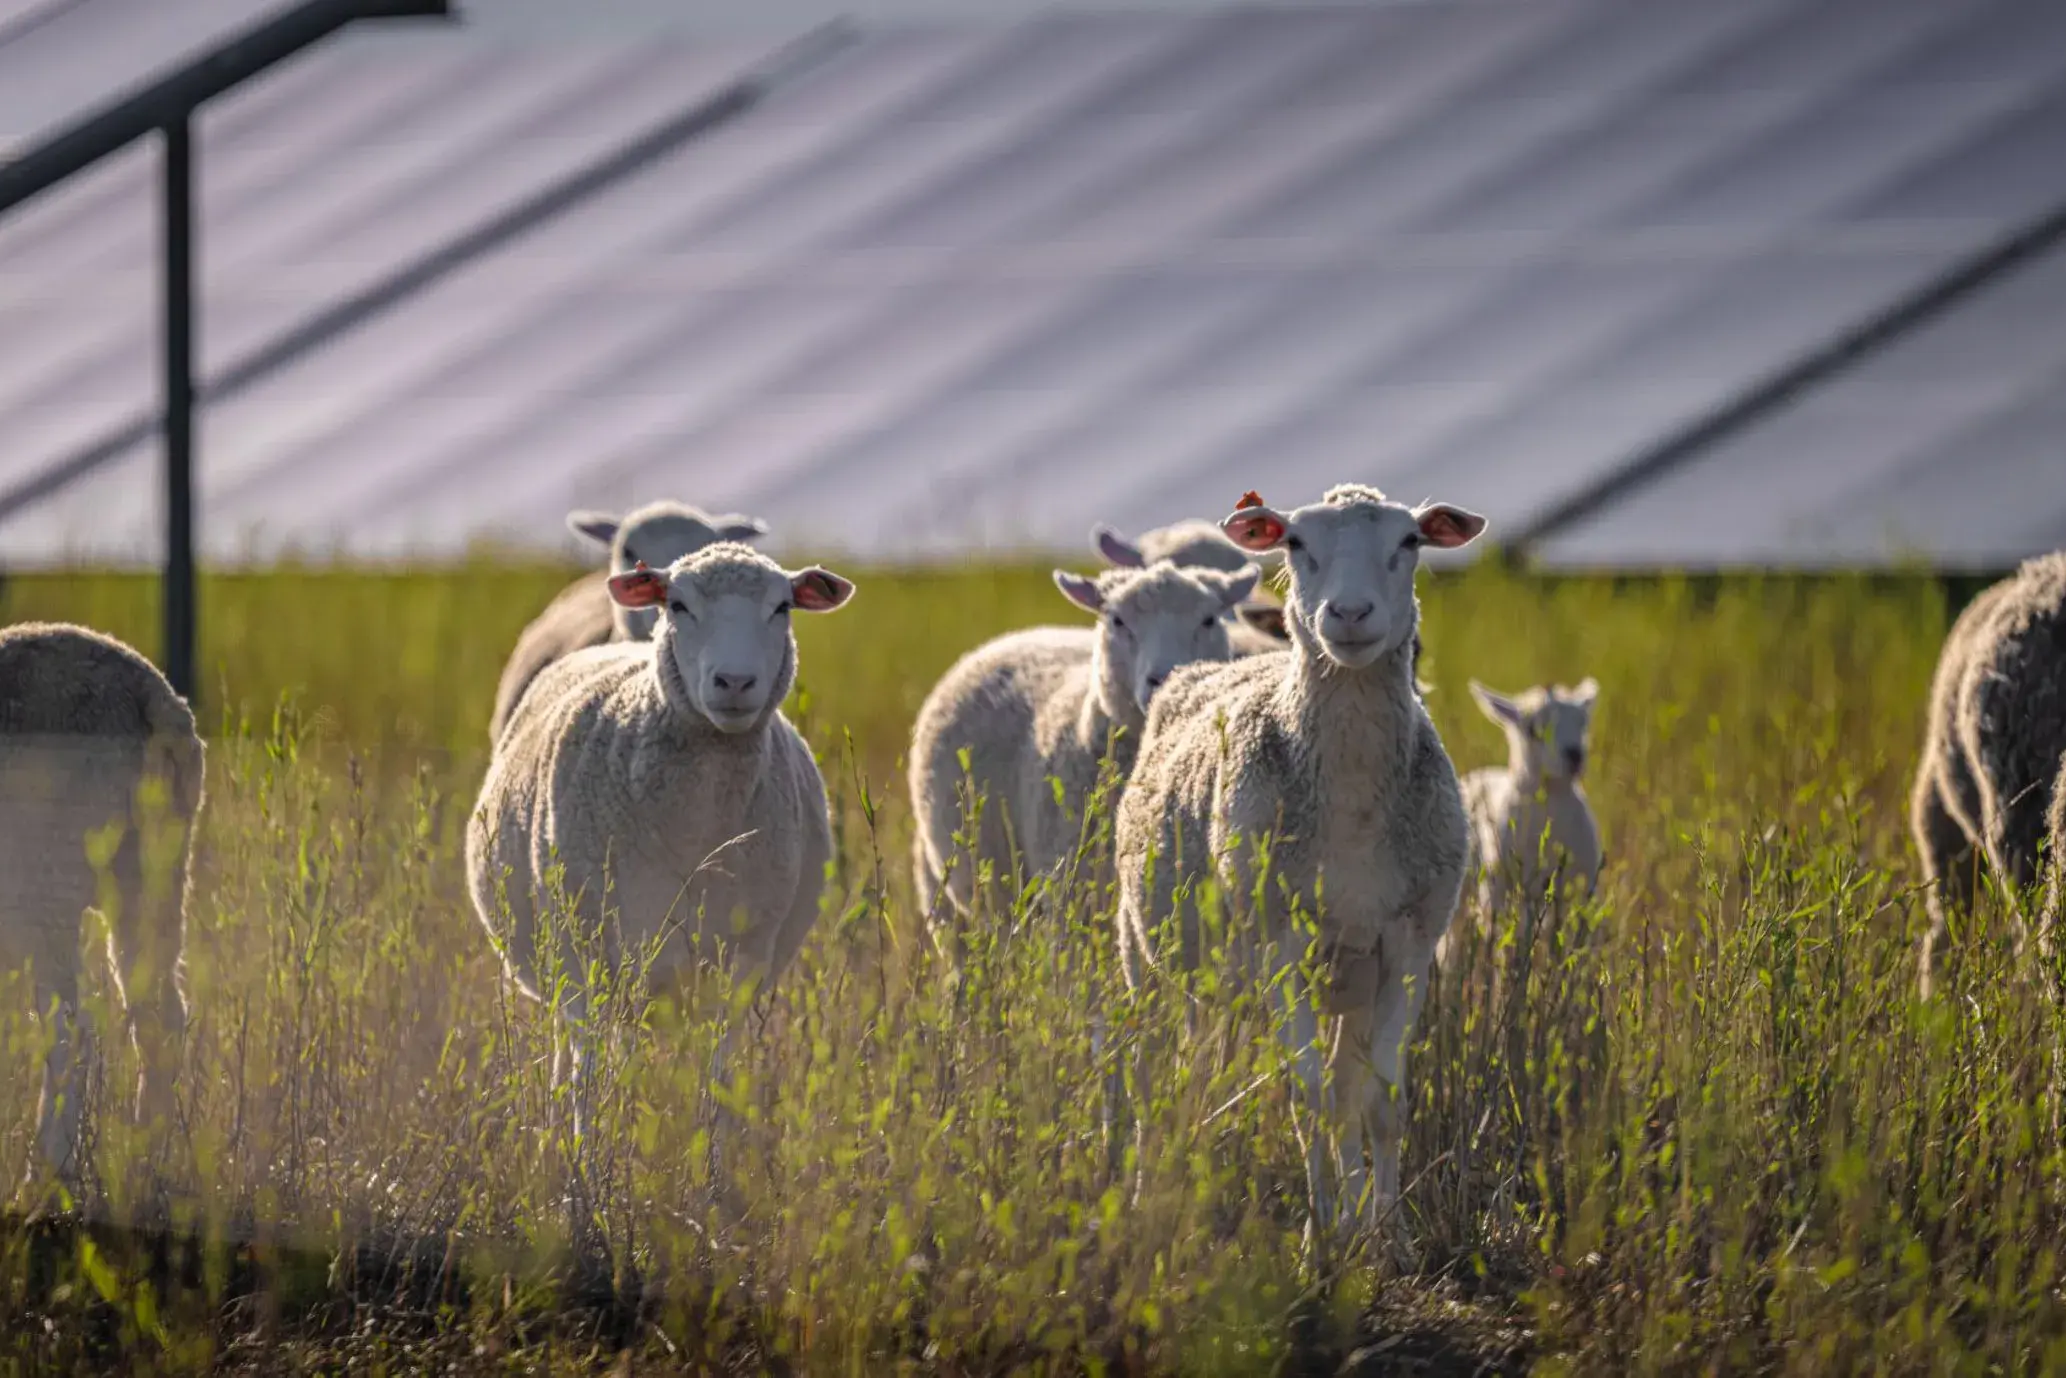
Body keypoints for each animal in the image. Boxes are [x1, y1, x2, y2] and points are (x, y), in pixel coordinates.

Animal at [1, 622, 204, 1190]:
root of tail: (157, 700)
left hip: (45, 877)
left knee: (70, 1025)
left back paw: (44, 1175)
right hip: (157, 865)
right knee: (160, 1013)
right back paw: (143, 1160)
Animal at [466, 543, 854, 1153]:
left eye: (782, 607)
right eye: (679, 604)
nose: (734, 682)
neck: (699, 831)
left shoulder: (741, 962)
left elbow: (718, 1086)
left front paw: (713, 1171)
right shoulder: (587, 955)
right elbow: (589, 1085)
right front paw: (586, 1168)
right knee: (574, 1057)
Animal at [1113, 484, 1486, 1231]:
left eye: (1409, 542)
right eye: (1295, 543)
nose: (1349, 614)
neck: (1352, 800)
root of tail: (1206, 670)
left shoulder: (1409, 941)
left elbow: (1378, 1100)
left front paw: (1385, 1233)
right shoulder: (1282, 939)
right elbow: (1309, 1097)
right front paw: (1322, 1234)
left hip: (1339, 976)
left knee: (1321, 1083)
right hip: (1147, 953)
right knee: (1154, 1075)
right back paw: (1148, 1191)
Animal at [1434, 679, 1601, 971]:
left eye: (1583, 722)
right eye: (1533, 729)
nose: (1574, 755)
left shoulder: (1575, 892)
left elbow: (1561, 947)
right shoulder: (1502, 890)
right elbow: (1508, 947)